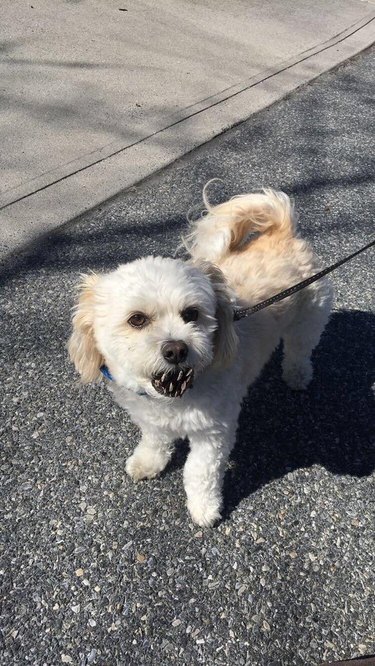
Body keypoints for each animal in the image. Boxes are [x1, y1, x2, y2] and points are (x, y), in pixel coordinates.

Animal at [69, 187, 334, 524]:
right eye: (137, 319)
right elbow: (154, 441)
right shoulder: (150, 419)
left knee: (300, 350)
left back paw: (297, 376)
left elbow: (199, 472)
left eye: (191, 314)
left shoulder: (213, 431)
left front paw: (204, 508)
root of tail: (282, 229)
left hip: (308, 319)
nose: (176, 348)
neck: (172, 395)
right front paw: (147, 462)